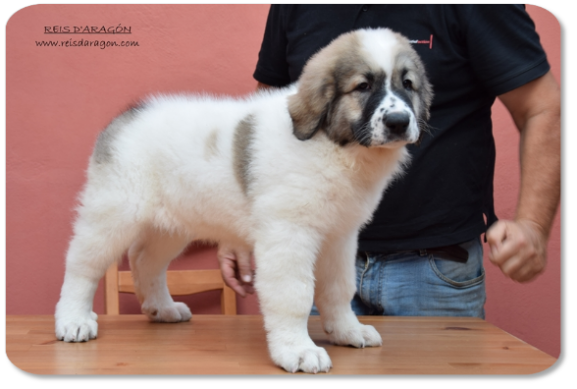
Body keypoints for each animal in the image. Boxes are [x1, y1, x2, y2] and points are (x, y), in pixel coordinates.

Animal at [55, 28, 432, 372]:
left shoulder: (339, 236)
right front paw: (297, 350)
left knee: (145, 259)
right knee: (82, 264)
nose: (399, 122)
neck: (332, 144)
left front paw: (346, 331)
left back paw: (162, 307)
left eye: (407, 84)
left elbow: (339, 288)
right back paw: (74, 319)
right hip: (113, 214)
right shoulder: (288, 234)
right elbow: (294, 294)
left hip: (172, 225)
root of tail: (127, 116)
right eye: (363, 86)